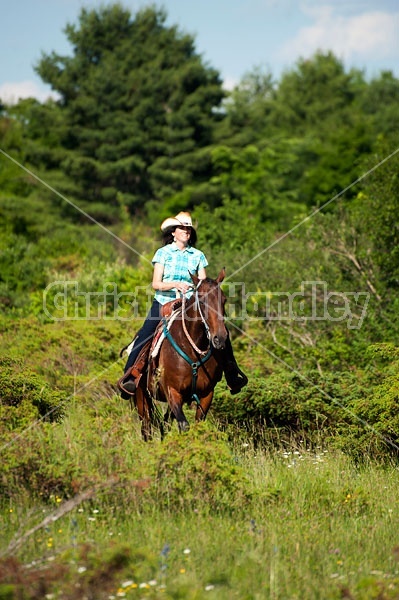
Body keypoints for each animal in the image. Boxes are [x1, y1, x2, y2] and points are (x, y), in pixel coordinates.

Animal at [134, 270, 228, 438]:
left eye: (224, 300)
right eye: (202, 302)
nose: (220, 338)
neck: (193, 350)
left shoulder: (206, 394)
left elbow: (197, 425)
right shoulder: (172, 391)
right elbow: (184, 425)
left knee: (165, 425)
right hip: (142, 400)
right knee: (147, 430)